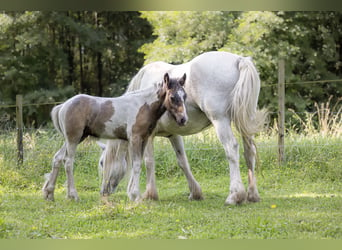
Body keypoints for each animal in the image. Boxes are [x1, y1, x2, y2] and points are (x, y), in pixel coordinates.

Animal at [43, 73, 187, 201]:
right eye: (172, 97)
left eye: (184, 96)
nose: (183, 119)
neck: (143, 105)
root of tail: (63, 105)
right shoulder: (135, 138)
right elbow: (136, 165)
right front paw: (136, 196)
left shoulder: (144, 139)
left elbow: (137, 164)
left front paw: (134, 195)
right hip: (73, 138)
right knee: (68, 162)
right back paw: (73, 195)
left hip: (75, 139)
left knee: (58, 158)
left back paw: (50, 194)